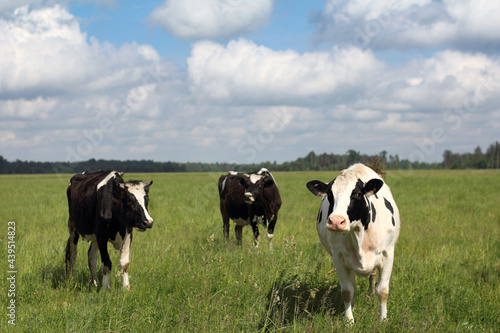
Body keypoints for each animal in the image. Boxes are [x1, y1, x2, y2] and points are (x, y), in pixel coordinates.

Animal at [306, 163, 400, 322]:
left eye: (357, 194)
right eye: (329, 195)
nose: (336, 221)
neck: (359, 235)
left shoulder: (388, 254)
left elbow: (382, 290)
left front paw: (383, 319)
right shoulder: (338, 257)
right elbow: (347, 291)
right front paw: (349, 320)